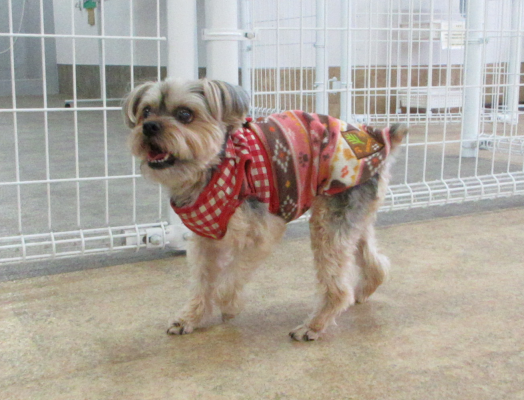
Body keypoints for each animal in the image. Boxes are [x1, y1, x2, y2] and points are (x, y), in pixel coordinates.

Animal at [123, 78, 407, 341]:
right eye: (146, 111)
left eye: (185, 114)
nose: (148, 126)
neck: (210, 169)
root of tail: (380, 139)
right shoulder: (204, 240)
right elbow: (201, 282)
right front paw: (190, 318)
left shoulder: (261, 234)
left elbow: (230, 279)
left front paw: (228, 305)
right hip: (352, 215)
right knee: (374, 259)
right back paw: (365, 289)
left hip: (327, 220)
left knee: (337, 287)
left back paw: (313, 325)